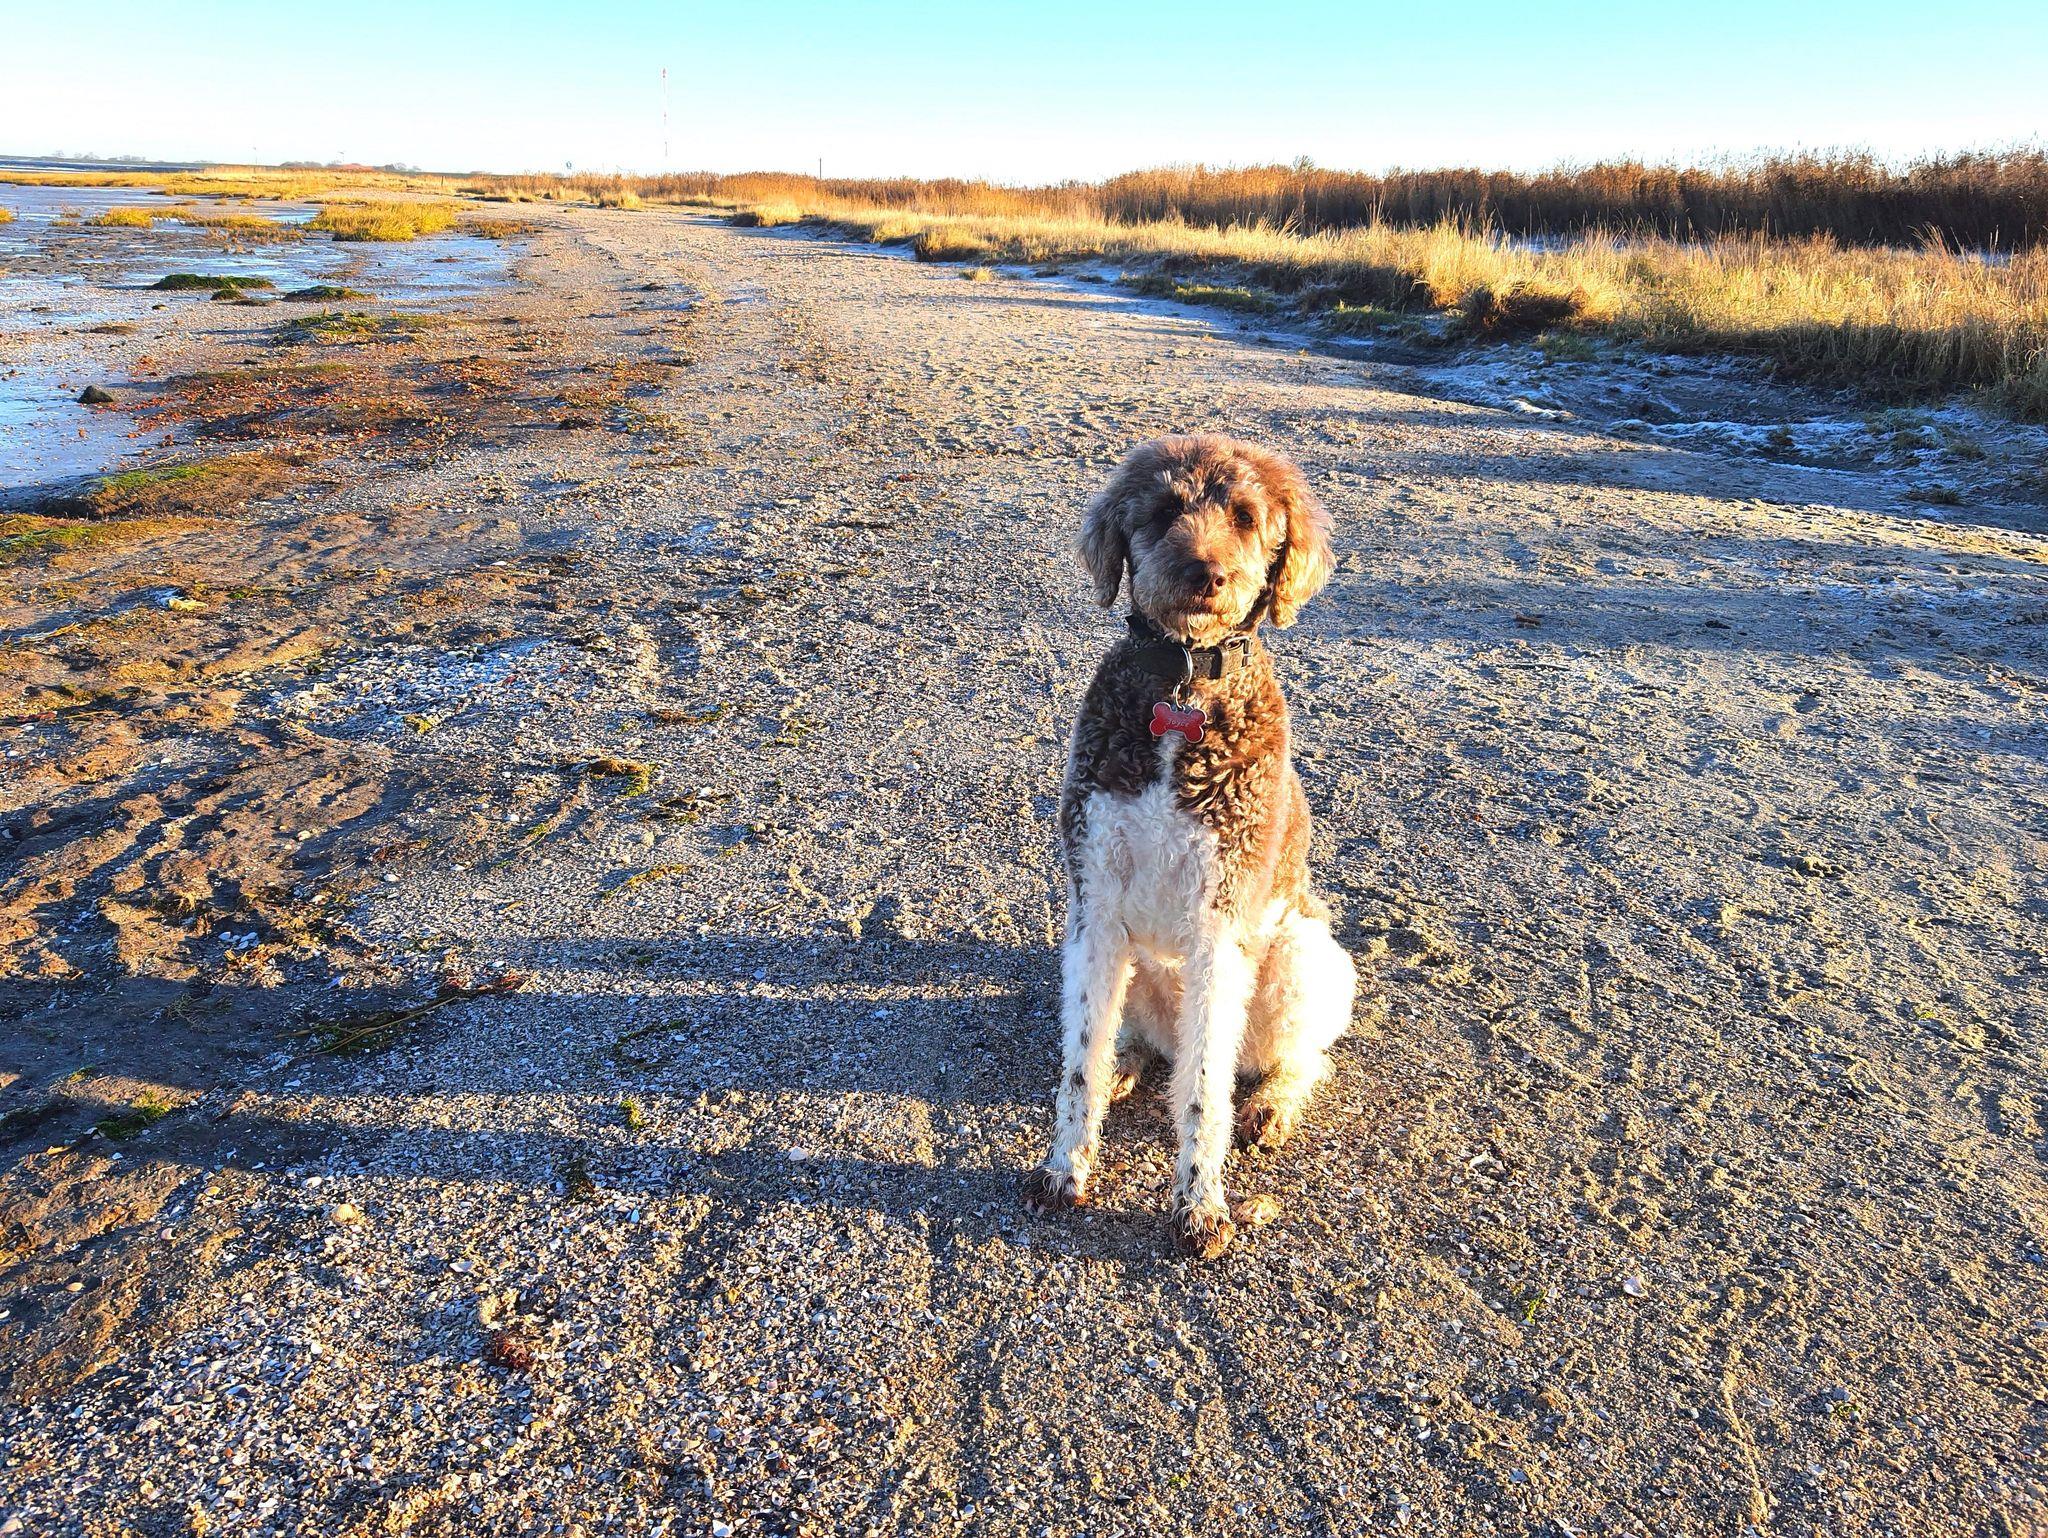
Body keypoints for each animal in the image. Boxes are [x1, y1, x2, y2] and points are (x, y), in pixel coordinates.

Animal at [1023, 434, 1357, 1258]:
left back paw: (1273, 1105)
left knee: (1295, 1058)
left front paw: (1200, 1203)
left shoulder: (1219, 926)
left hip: (1304, 957)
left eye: (1246, 516)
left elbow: (1206, 1085)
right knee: (1141, 1046)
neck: (1183, 689)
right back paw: (1131, 1066)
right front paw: (1064, 1169)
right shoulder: (1094, 905)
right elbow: (1080, 1059)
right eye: (1165, 509)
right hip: (1131, 964)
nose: (1208, 575)